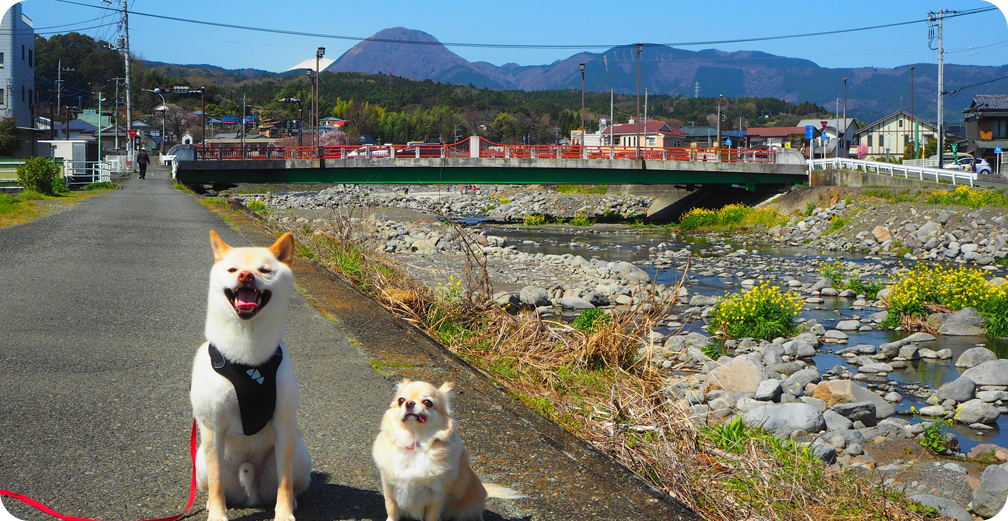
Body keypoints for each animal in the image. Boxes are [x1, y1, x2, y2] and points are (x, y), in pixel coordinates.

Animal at [190, 229, 310, 519]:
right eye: (233, 269)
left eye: (264, 270)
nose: (245, 275)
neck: (247, 359)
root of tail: (251, 493)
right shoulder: (211, 428)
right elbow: (217, 484)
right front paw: (218, 515)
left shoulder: (284, 426)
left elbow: (284, 482)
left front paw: (284, 513)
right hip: (201, 463)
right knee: (214, 483)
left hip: (300, 455)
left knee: (293, 482)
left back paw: (294, 500)